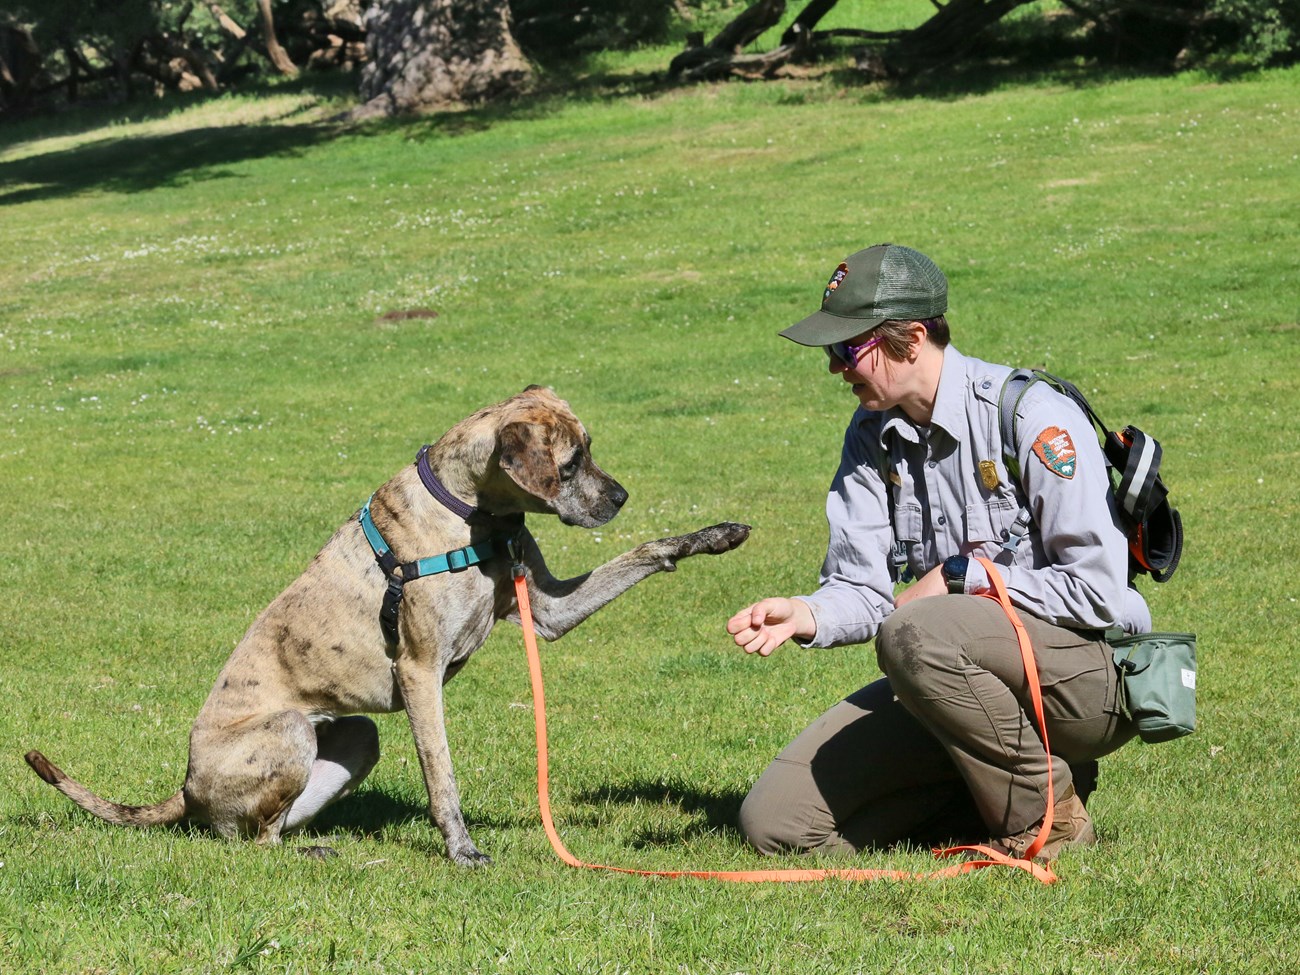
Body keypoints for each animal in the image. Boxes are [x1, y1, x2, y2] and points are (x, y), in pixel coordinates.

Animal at [27, 384, 754, 868]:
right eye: (571, 462)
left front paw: (714, 535)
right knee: (246, 841)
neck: (473, 514)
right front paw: (461, 848)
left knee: (265, 825)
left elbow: (645, 553)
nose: (621, 496)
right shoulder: (419, 671)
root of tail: (184, 785)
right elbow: (443, 775)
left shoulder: (545, 611)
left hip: (352, 738)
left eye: (589, 451)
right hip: (288, 731)